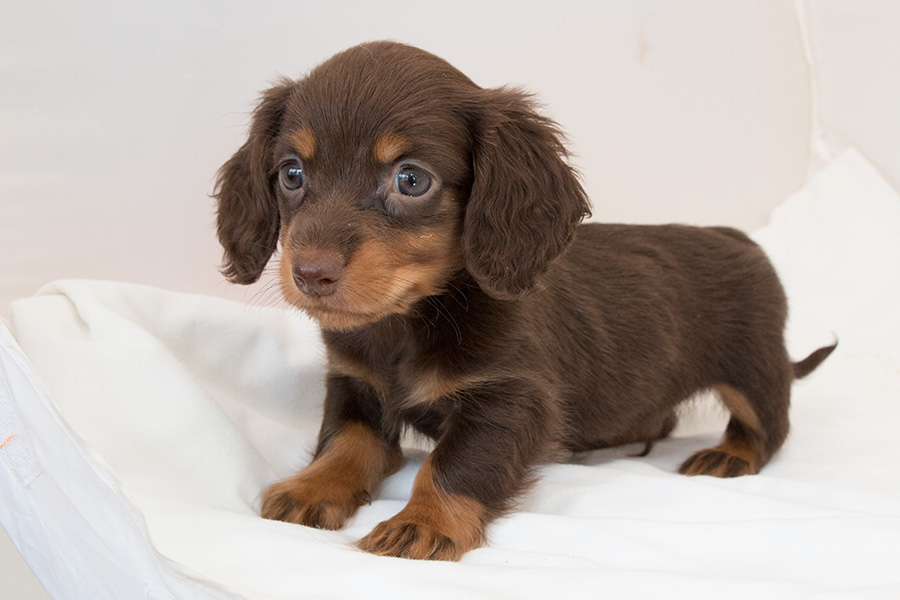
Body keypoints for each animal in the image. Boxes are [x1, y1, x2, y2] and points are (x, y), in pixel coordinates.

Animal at [216, 42, 836, 564]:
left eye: (411, 180)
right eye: (292, 173)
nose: (310, 274)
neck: (411, 321)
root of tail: (741, 240)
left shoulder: (510, 399)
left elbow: (452, 465)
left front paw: (424, 522)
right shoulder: (355, 383)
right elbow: (346, 441)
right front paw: (312, 487)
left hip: (754, 368)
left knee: (770, 423)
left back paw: (732, 454)